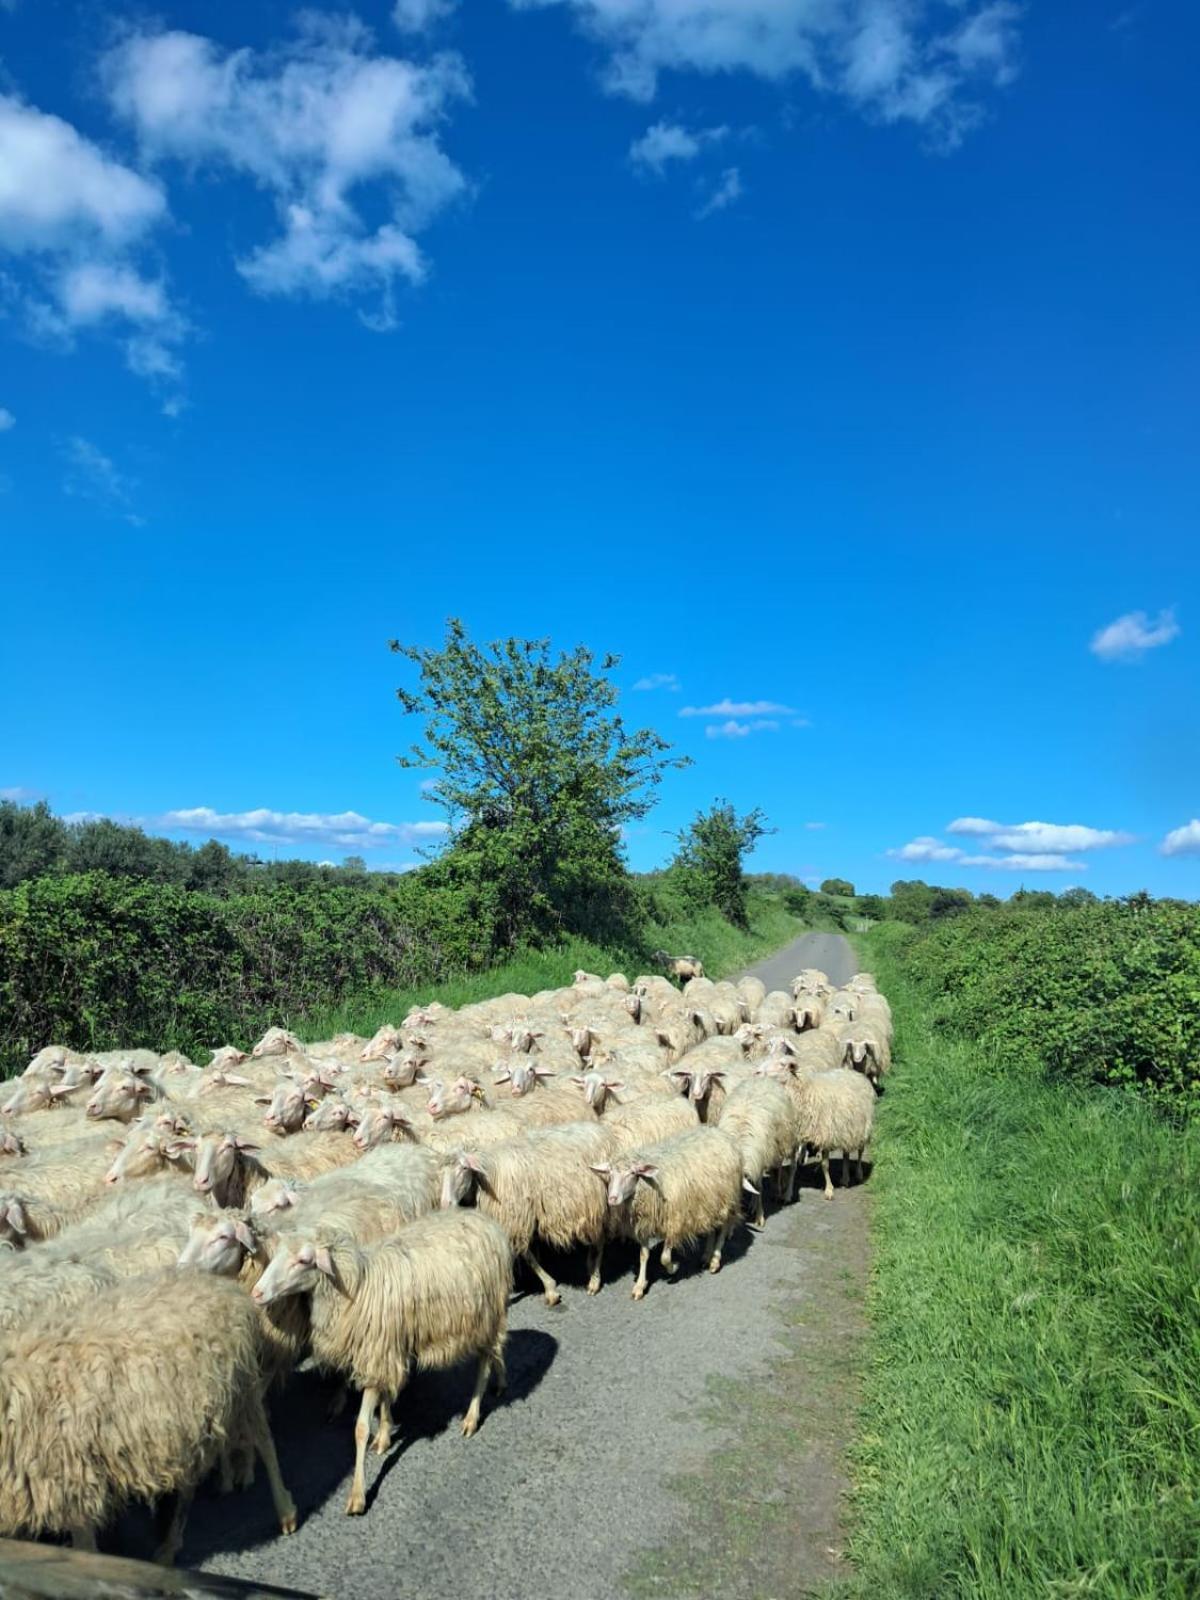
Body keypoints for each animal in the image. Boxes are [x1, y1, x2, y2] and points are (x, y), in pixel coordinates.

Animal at [251, 1209, 515, 1510]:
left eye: (304, 1260)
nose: (256, 1293)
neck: (358, 1287)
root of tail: (487, 1221)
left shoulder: (376, 1354)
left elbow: (361, 1428)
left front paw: (357, 1494)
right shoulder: (387, 1351)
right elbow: (387, 1396)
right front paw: (386, 1434)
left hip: (486, 1314)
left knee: (484, 1362)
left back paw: (472, 1416)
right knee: (497, 1350)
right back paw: (501, 1380)